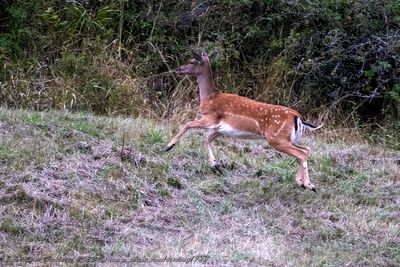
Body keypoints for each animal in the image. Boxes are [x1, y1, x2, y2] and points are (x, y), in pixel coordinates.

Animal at [164, 50, 324, 193]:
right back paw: (302, 183)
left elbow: (188, 124)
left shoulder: (210, 118)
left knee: (301, 154)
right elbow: (206, 140)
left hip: (276, 138)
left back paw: (309, 185)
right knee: (306, 150)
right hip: (289, 139)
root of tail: (299, 118)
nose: (178, 69)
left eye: (192, 61)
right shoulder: (220, 129)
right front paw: (216, 165)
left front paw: (169, 146)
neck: (208, 97)